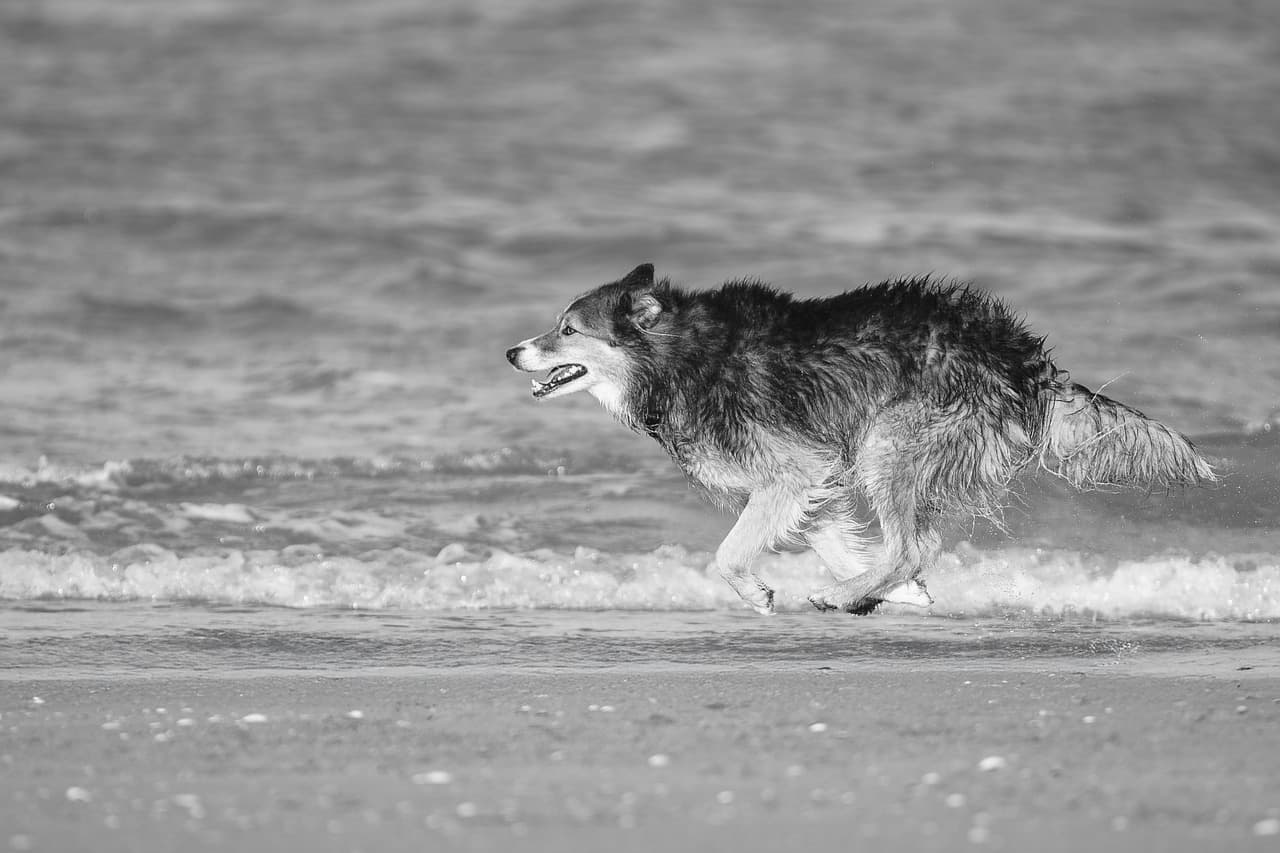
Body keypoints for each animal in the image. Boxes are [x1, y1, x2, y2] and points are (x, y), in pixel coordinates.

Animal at [504, 262, 1213, 614]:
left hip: (888, 441)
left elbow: (727, 554)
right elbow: (836, 541)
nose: (512, 352)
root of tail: (1024, 362)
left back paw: (837, 596)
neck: (678, 359)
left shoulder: (790, 470)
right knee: (914, 544)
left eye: (567, 330)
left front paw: (761, 593)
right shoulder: (814, 480)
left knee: (914, 541)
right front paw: (891, 592)